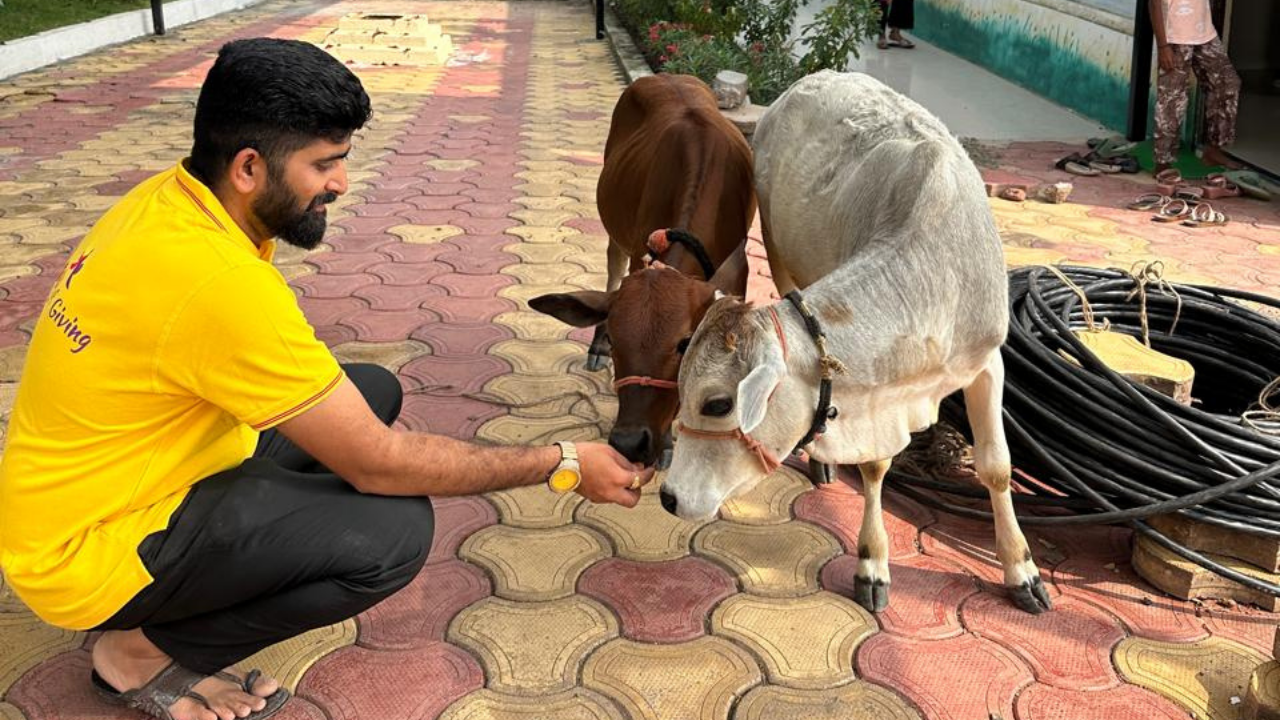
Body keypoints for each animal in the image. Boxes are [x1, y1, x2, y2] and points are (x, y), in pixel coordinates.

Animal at [530, 74, 756, 468]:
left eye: (684, 343)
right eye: (619, 340)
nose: (629, 442)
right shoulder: (640, 252)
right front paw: (666, 442)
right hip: (616, 228)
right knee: (612, 269)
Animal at [659, 71, 1051, 615]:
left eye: (717, 403)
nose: (668, 497)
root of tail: (817, 77)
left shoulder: (988, 361)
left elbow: (997, 466)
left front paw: (1021, 568)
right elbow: (875, 465)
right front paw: (873, 562)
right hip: (777, 248)